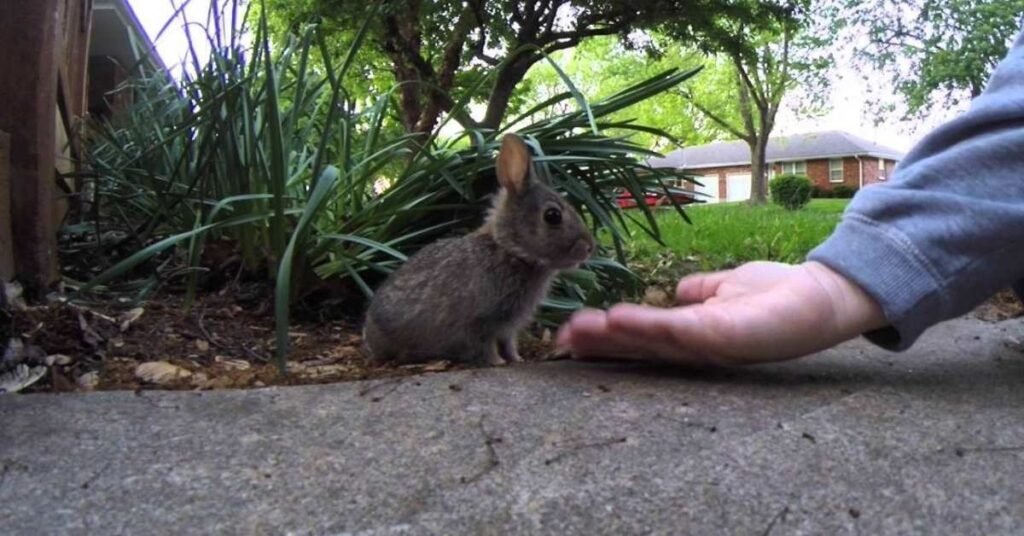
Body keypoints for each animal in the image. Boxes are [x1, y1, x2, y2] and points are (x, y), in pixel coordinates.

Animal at [362, 133, 595, 366]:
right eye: (552, 216)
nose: (589, 247)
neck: (510, 250)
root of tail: (369, 330)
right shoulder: (479, 322)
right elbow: (484, 346)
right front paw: (498, 362)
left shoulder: (508, 327)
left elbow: (508, 343)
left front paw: (517, 359)